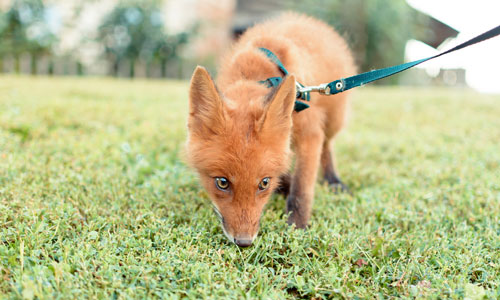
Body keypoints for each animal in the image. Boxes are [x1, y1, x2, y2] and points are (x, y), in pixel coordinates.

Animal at [187, 12, 356, 246]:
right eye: (222, 183)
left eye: (263, 183)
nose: (244, 242)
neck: (257, 74)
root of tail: (311, 21)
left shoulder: (310, 134)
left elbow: (301, 189)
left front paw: (297, 228)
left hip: (334, 120)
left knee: (327, 146)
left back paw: (333, 180)